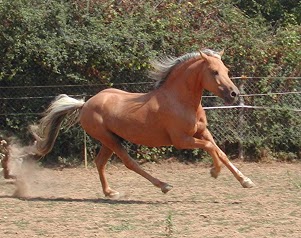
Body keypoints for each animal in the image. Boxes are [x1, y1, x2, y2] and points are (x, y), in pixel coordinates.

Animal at [29, 48, 253, 197]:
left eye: (226, 70)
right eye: (214, 72)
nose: (234, 94)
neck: (180, 100)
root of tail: (85, 104)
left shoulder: (202, 132)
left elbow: (220, 152)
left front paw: (246, 181)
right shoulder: (182, 140)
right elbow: (210, 148)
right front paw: (214, 172)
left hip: (110, 140)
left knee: (100, 162)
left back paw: (110, 192)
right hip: (110, 139)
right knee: (129, 163)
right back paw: (163, 185)